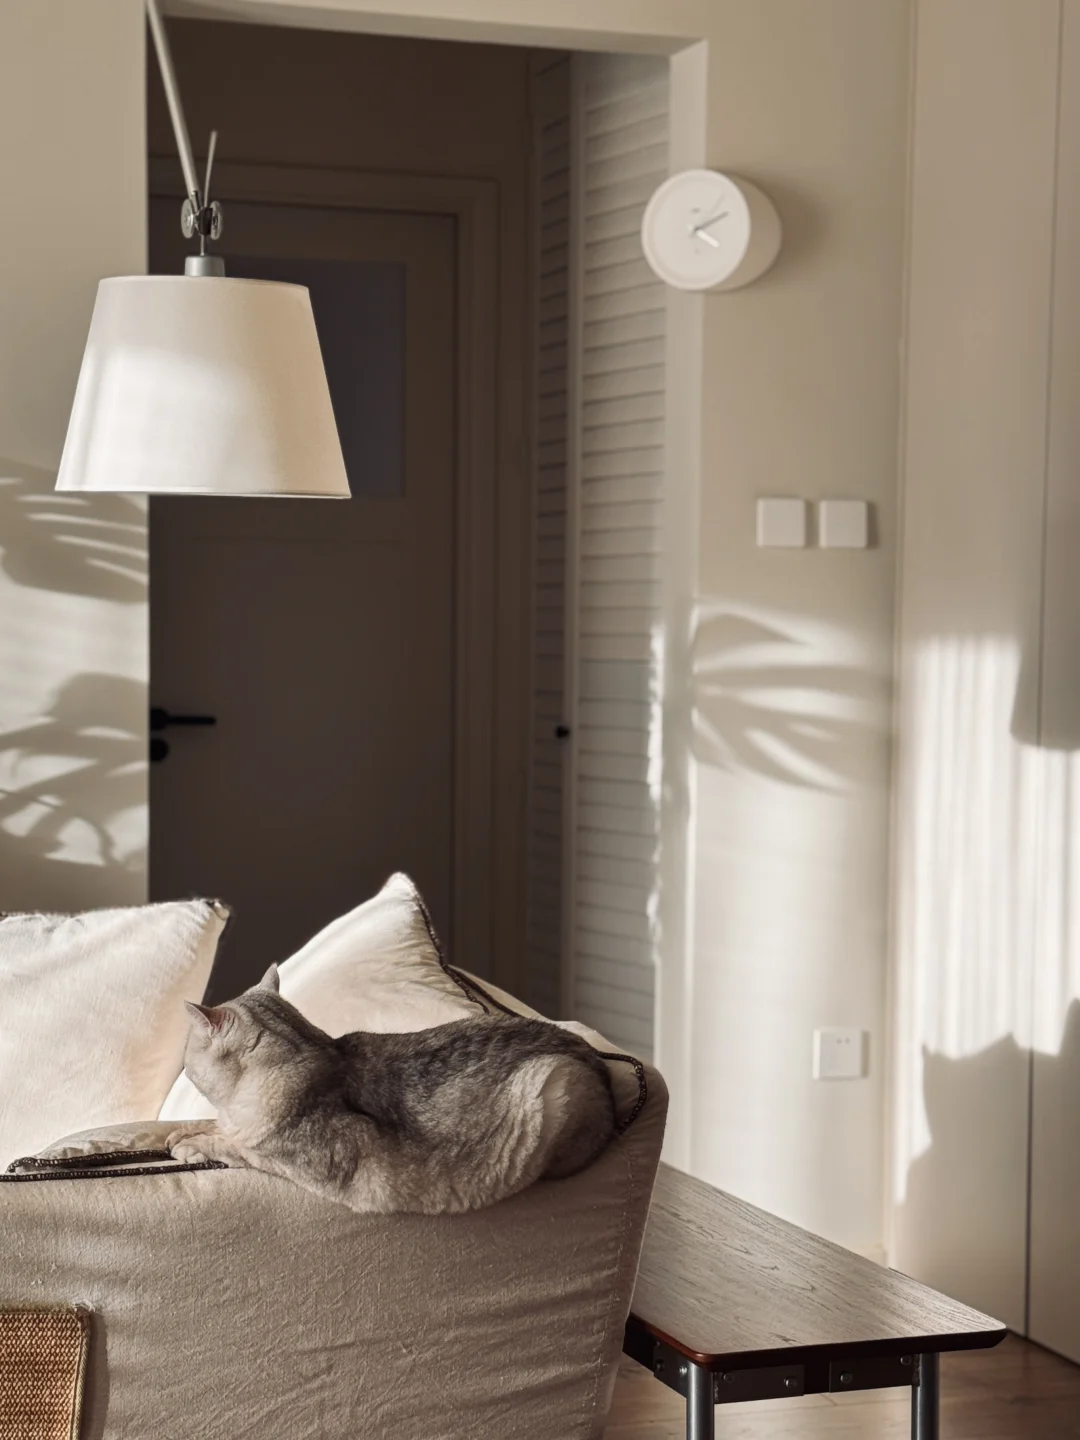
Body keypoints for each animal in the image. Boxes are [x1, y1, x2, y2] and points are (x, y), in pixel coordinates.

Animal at [165, 966, 617, 1214]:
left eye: (187, 1057)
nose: (181, 1064)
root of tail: (592, 1056)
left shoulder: (311, 1158)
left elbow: (237, 1146)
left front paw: (191, 1144)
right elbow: (212, 1126)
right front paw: (181, 1132)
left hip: (553, 1085)